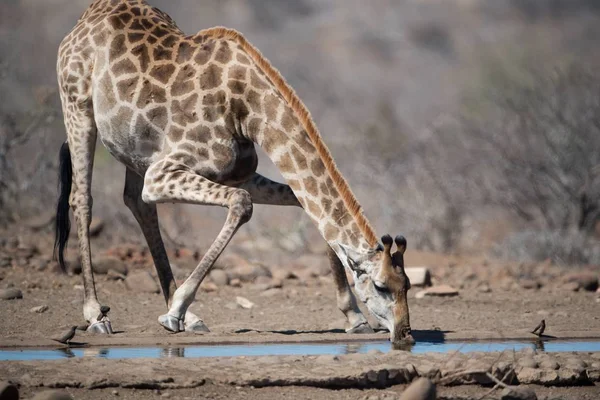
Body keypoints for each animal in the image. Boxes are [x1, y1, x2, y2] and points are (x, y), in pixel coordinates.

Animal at [55, 0, 412, 344]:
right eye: (381, 286)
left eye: (406, 284)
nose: (405, 334)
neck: (247, 110)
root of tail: (86, 18)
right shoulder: (163, 172)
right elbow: (241, 204)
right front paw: (176, 309)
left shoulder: (237, 173)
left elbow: (305, 209)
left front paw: (354, 318)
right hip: (78, 105)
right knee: (82, 198)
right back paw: (97, 315)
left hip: (134, 150)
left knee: (137, 203)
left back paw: (188, 317)